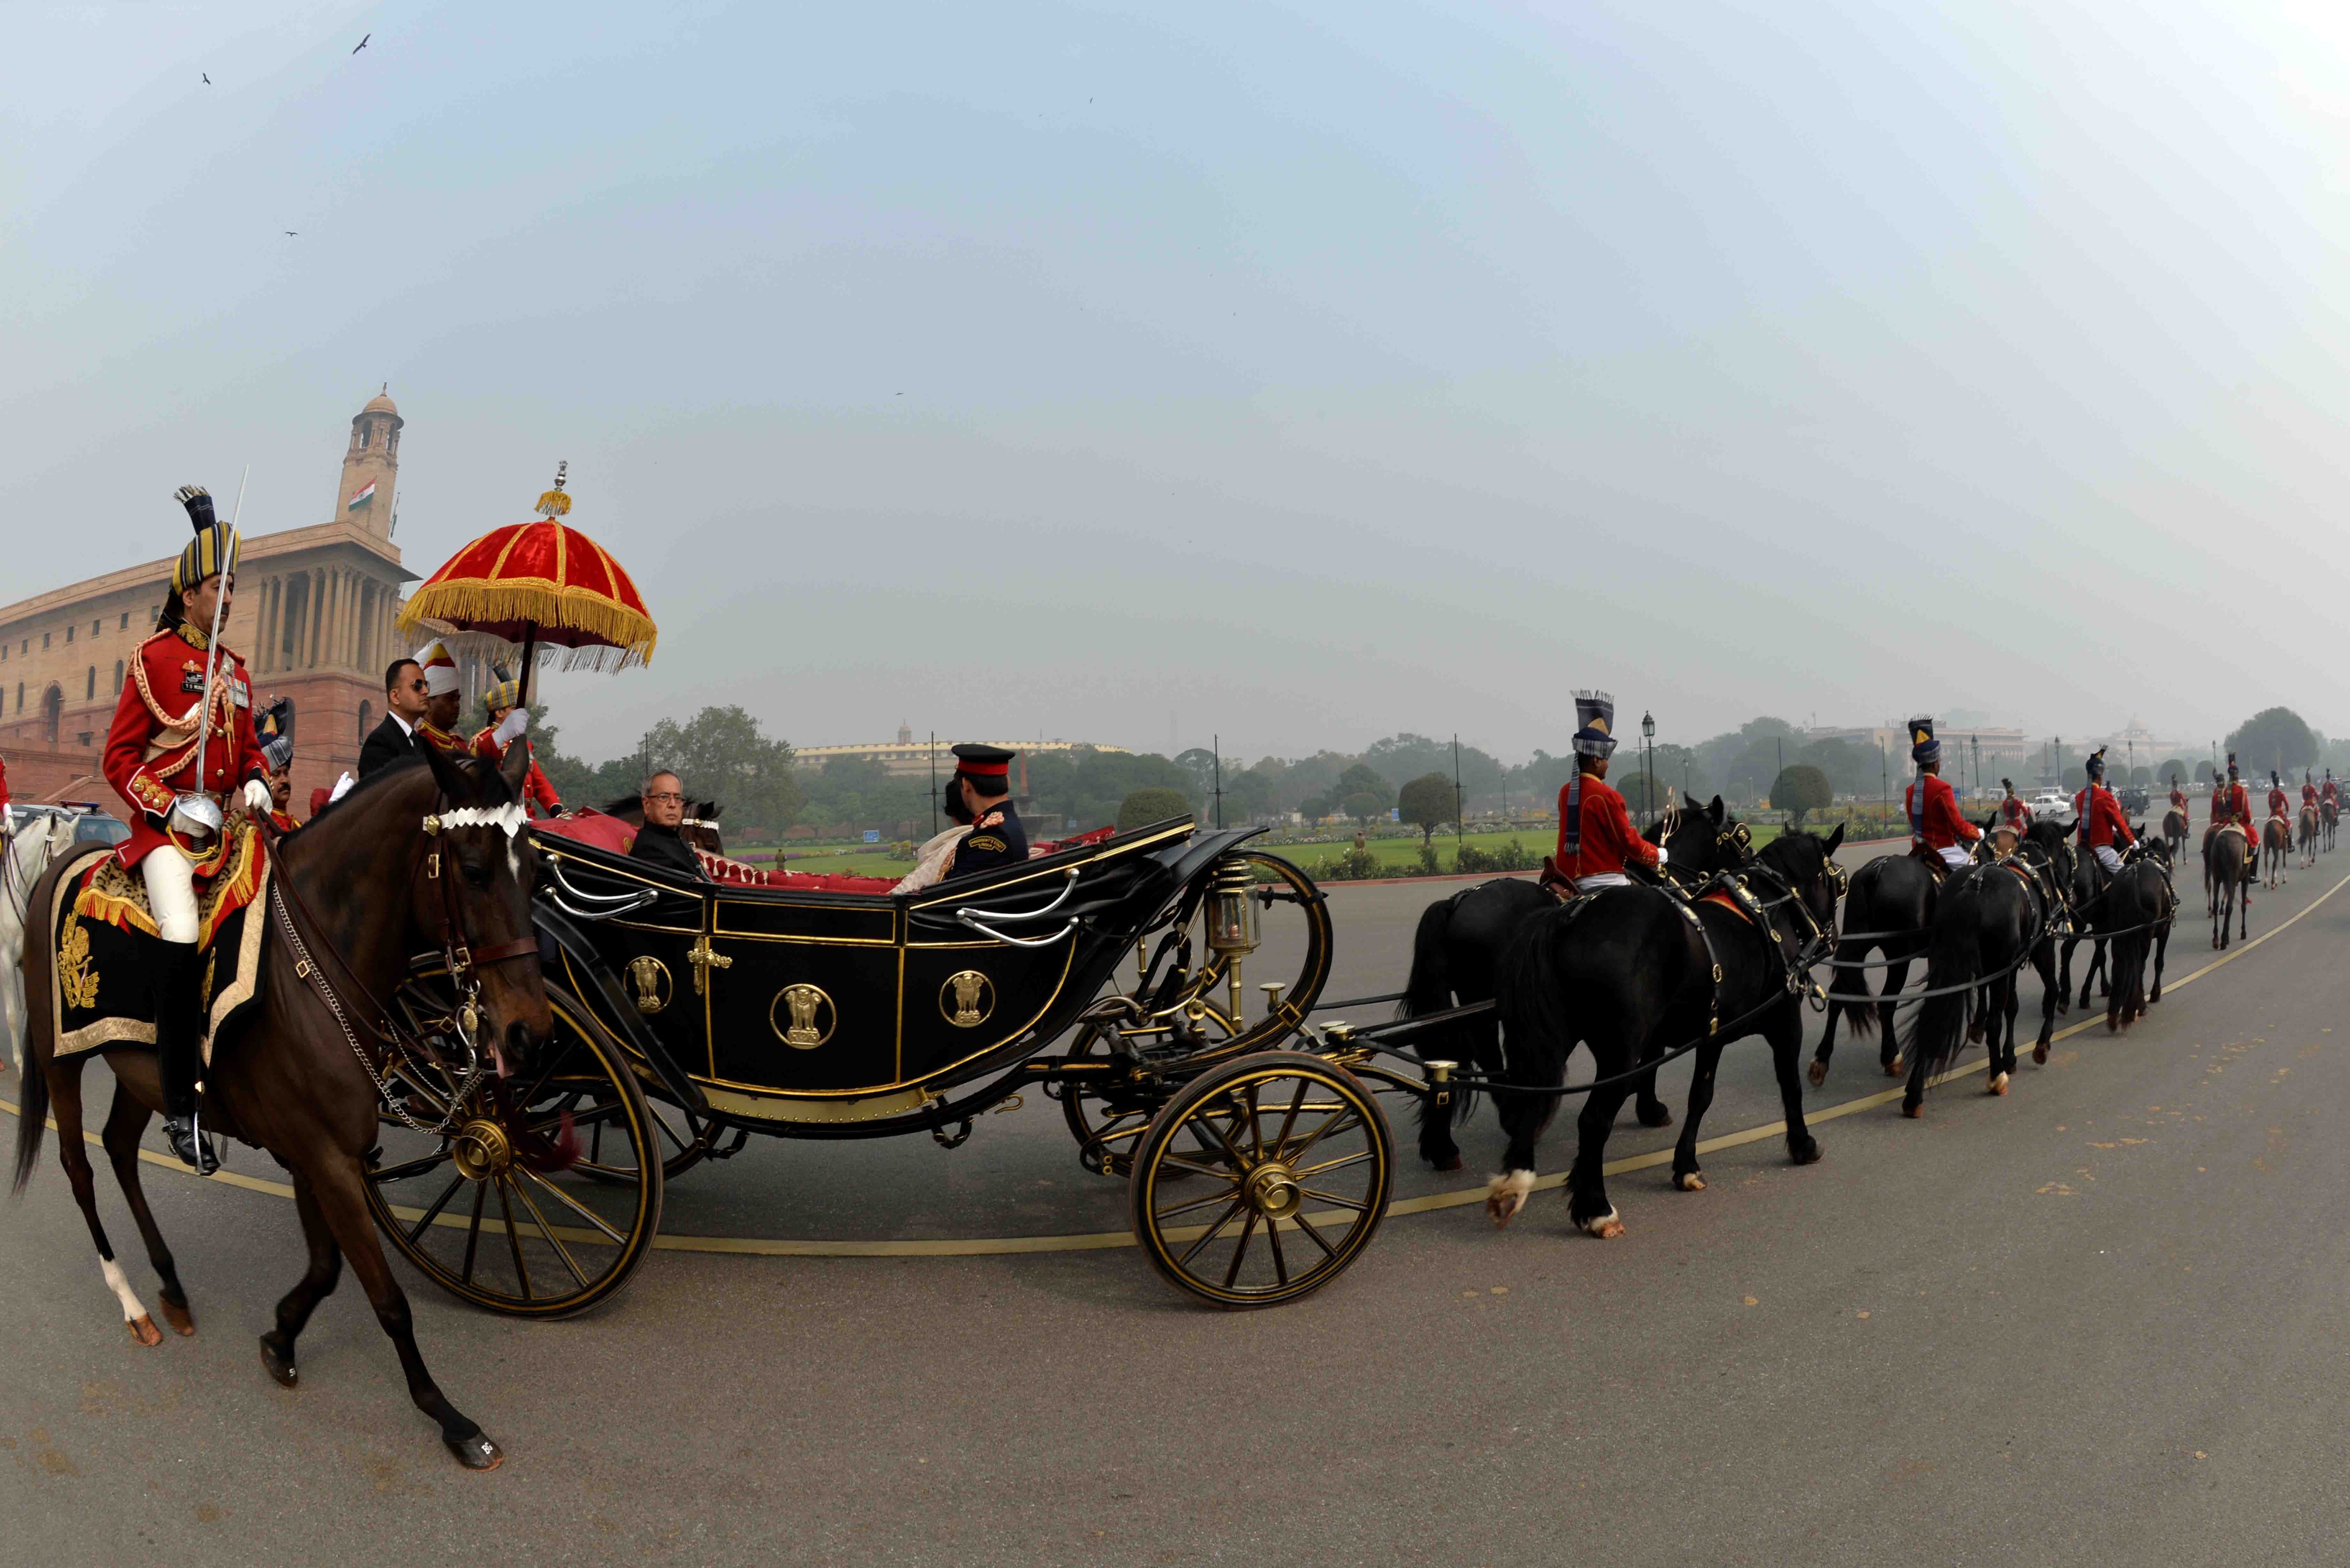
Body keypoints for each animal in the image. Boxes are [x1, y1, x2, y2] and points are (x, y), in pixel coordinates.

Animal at [11, 743, 547, 1467]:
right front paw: (447, 1414)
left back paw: (171, 1285)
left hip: (141, 1071)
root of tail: (59, 865)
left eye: (538, 873)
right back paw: (132, 1303)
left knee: (121, 1148)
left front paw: (281, 1337)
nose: (529, 1032)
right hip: (60, 1056)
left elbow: (324, 1270)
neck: (320, 968)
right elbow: (386, 1296)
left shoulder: (316, 1155)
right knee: (80, 1168)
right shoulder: (324, 1157)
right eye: (473, 870)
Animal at [1391, 804, 1748, 1171]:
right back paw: (1511, 1115)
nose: (1746, 877)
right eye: (1741, 837)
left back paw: (1445, 1144)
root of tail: (1458, 901)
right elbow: (1652, 1054)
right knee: (1485, 1054)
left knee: (1452, 1056)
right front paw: (1649, 1107)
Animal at [1485, 823, 1852, 1241]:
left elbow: (1700, 1096)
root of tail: (1567, 918)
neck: (1765, 907)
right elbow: (1790, 1084)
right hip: (1619, 1053)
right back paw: (1597, 1208)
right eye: (1837, 879)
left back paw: (1515, 1183)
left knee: (1533, 1100)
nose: (1833, 937)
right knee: (1594, 1121)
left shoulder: (1713, 1034)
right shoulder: (1785, 1019)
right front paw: (1803, 1144)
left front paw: (1685, 1164)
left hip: (1552, 1041)